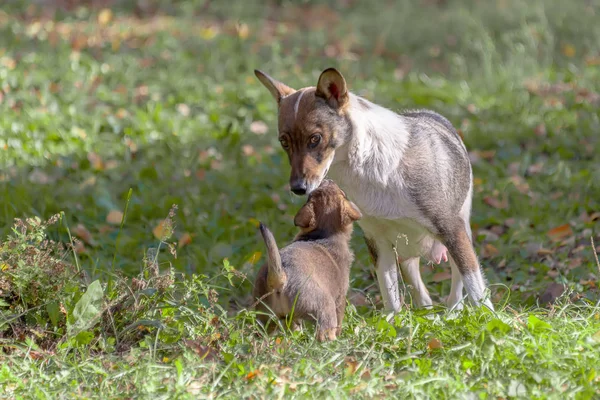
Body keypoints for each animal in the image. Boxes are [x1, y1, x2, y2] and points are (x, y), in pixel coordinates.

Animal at [253, 68, 492, 312]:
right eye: (284, 142)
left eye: (315, 139)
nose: (298, 189)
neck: (372, 171)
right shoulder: (379, 244)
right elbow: (391, 301)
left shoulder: (452, 232)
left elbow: (478, 293)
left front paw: (490, 317)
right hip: (404, 256)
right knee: (423, 296)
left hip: (460, 236)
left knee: (457, 290)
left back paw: (453, 311)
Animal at [253, 180, 360, 342]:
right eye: (344, 193)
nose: (328, 180)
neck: (323, 235)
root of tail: (281, 276)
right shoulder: (340, 298)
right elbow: (340, 322)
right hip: (325, 308)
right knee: (324, 333)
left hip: (266, 319)